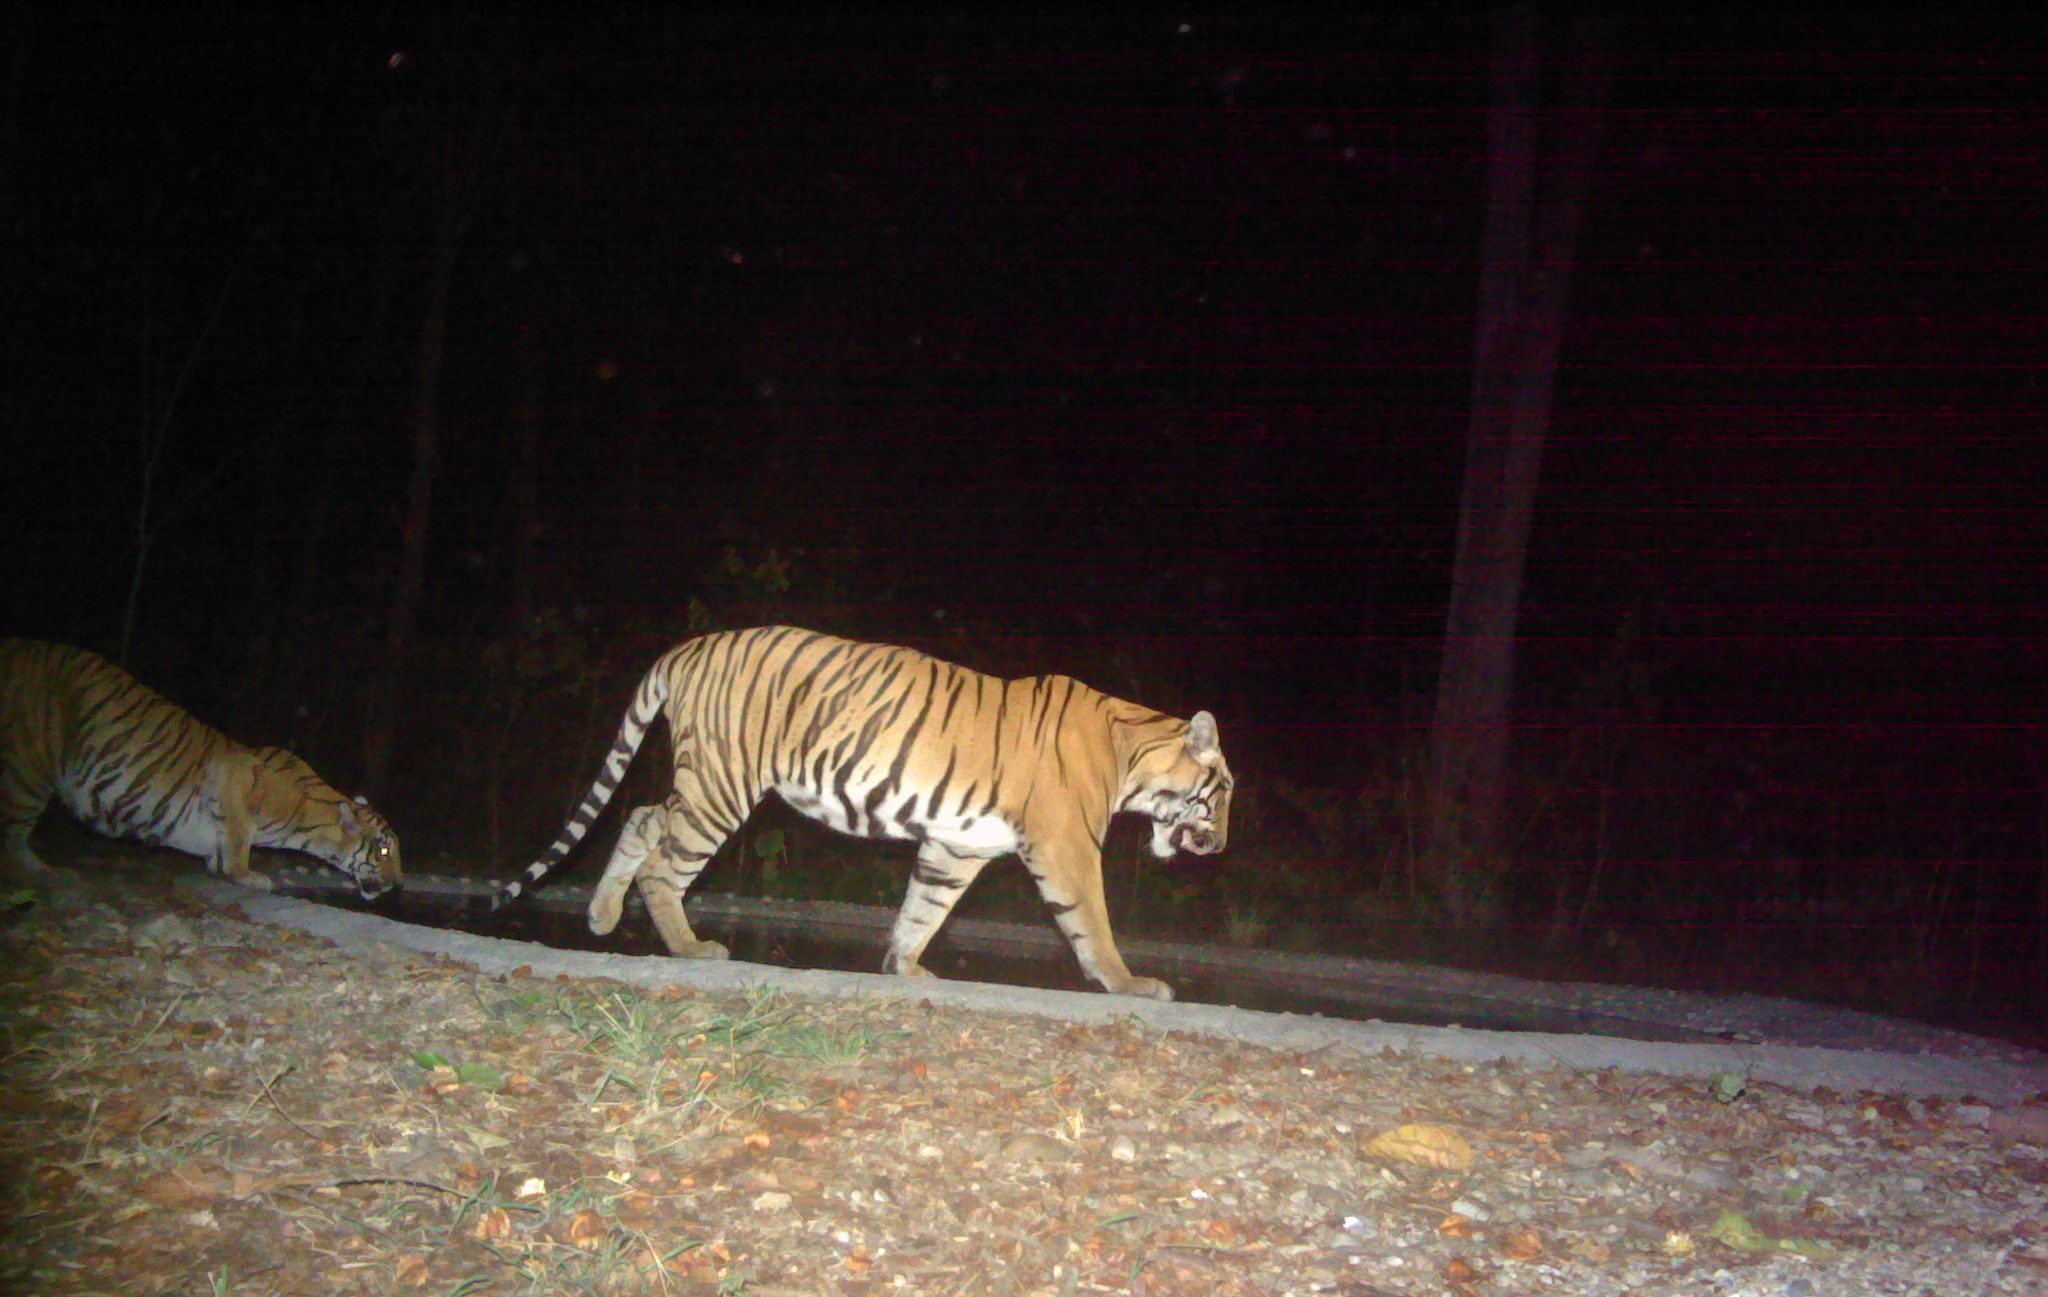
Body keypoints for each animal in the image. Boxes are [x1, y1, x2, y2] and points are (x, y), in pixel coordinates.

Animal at [0, 639, 402, 898]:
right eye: (384, 852)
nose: (398, 883)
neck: (309, 823)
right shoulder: (234, 776)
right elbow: (239, 836)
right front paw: (245, 875)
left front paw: (217, 865)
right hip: (30, 766)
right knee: (13, 835)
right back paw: (42, 872)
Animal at [493, 625, 1231, 999]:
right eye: (1222, 791)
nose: (1222, 846)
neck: (1134, 753)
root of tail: (687, 646)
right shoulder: (1066, 845)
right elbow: (1092, 922)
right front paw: (1131, 983)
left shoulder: (955, 844)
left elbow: (924, 909)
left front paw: (905, 969)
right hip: (724, 783)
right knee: (664, 865)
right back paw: (690, 947)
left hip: (701, 781)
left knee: (642, 817)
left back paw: (601, 914)